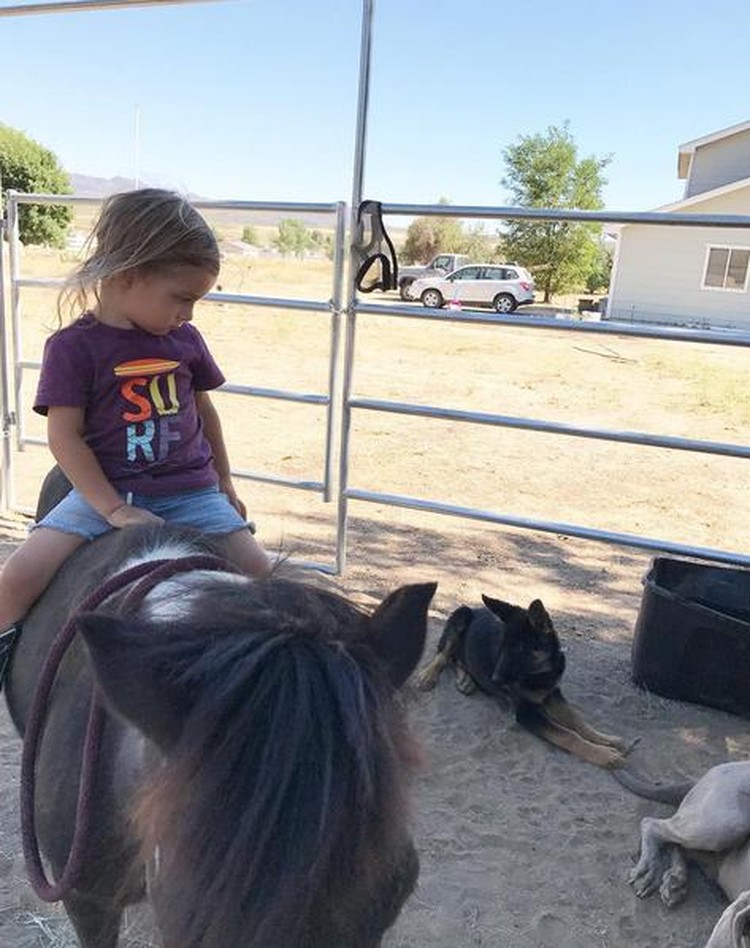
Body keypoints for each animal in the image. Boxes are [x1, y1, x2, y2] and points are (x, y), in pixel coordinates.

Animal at [418, 600, 636, 772]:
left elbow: (576, 720)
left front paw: (606, 740)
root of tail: (476, 609)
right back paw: (427, 676)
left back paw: (466, 680)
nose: (494, 679)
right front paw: (605, 755)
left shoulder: (552, 694)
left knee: (458, 660)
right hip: (460, 616)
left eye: (520, 650)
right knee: (443, 654)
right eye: (502, 647)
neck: (540, 673)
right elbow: (568, 734)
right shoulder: (526, 712)